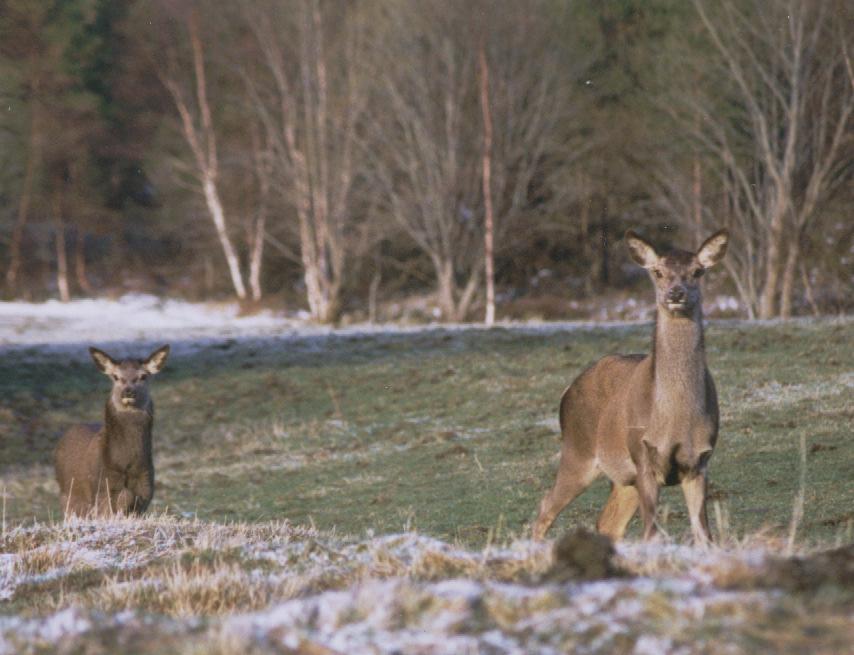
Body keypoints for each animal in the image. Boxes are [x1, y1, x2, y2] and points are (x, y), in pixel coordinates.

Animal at [55, 346, 171, 520]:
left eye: (143, 376)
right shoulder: (104, 489)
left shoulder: (145, 490)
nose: (128, 391)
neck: (127, 464)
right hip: (68, 496)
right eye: (116, 377)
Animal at [536, 228, 728, 544]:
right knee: (546, 506)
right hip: (579, 451)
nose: (676, 293)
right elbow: (651, 533)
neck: (675, 419)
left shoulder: (699, 461)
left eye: (697, 271)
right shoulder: (643, 454)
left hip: (623, 478)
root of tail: (567, 391)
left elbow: (704, 535)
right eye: (658, 272)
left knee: (607, 522)